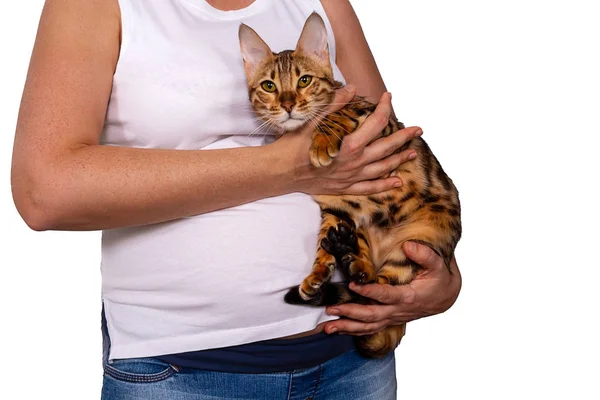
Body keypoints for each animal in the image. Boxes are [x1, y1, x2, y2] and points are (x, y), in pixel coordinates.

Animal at [237, 12, 462, 358]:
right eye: (269, 86)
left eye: (305, 81)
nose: (288, 105)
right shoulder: (335, 208)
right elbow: (320, 245)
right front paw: (317, 274)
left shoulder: (381, 124)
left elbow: (336, 116)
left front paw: (321, 139)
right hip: (363, 229)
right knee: (365, 280)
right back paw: (349, 256)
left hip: (419, 240)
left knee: (378, 293)